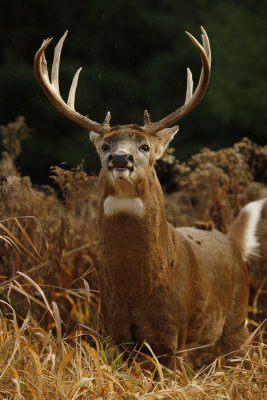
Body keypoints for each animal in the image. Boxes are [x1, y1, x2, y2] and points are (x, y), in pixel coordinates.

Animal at [34, 26, 266, 368]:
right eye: (105, 146)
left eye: (144, 146)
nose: (120, 158)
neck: (135, 286)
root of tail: (231, 243)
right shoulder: (114, 332)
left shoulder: (172, 334)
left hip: (237, 320)